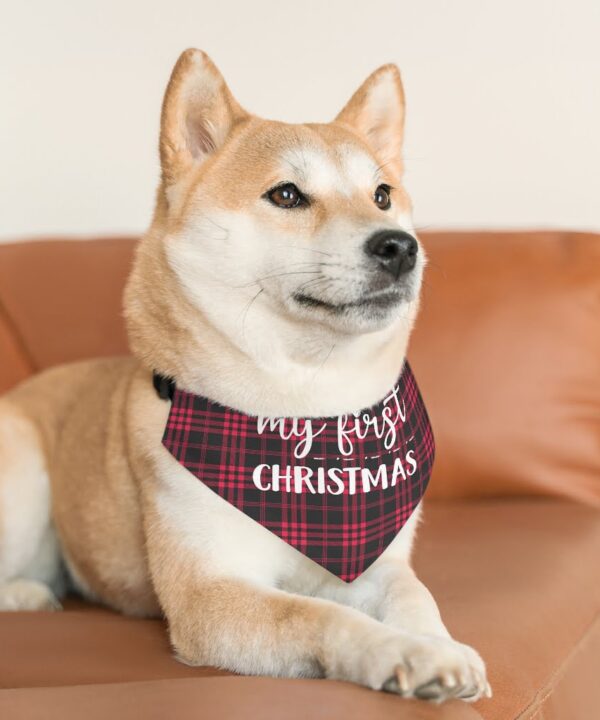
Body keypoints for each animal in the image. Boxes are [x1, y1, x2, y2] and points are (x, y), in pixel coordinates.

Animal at [0, 50, 492, 704]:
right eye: (286, 194)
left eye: (383, 194)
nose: (400, 246)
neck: (306, 412)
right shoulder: (209, 595)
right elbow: (321, 616)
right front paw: (402, 652)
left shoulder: (378, 561)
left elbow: (415, 596)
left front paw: (439, 645)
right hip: (22, 481)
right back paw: (26, 593)